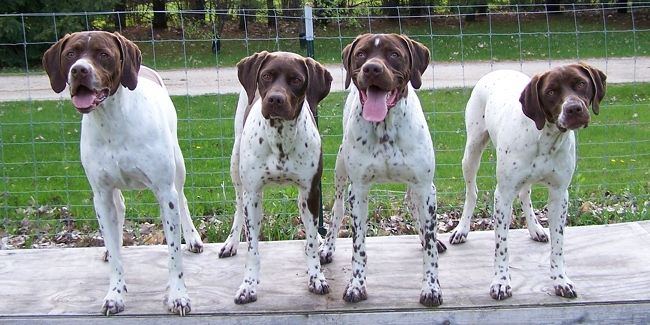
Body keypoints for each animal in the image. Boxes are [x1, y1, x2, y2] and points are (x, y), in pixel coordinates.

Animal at [219, 50, 332, 304]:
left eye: (296, 80)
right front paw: (248, 286)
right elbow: (252, 248)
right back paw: (231, 242)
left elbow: (311, 241)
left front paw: (316, 277)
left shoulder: (311, 191)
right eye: (267, 76)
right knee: (238, 205)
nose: (275, 99)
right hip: (236, 167)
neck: (280, 139)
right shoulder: (253, 194)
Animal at [318, 34, 446, 306]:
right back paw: (327, 247)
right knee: (337, 209)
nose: (372, 69)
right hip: (340, 170)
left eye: (394, 54)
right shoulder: (358, 191)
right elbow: (358, 247)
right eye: (361, 54)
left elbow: (429, 248)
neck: (385, 127)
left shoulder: (425, 187)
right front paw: (356, 285)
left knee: (413, 205)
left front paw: (431, 287)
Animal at [448, 62, 604, 298]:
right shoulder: (502, 195)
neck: (545, 138)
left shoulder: (559, 195)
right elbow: (502, 246)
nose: (574, 109)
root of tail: (498, 70)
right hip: (472, 150)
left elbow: (558, 244)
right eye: (550, 92)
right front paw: (501, 282)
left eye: (581, 84)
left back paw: (535, 229)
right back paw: (462, 230)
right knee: (472, 191)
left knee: (524, 193)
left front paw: (560, 279)